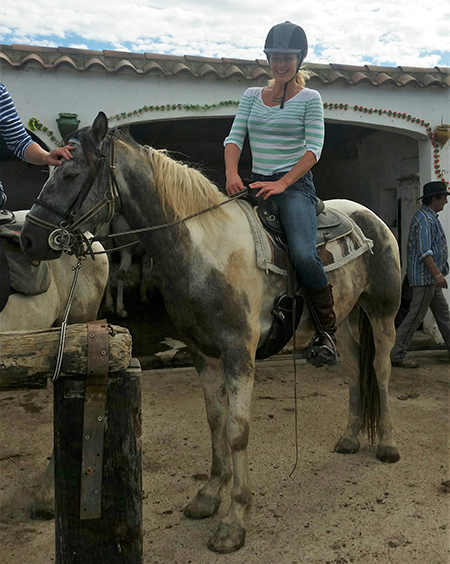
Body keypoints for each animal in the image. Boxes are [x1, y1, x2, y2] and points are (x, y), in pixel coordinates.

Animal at [20, 112, 400, 552]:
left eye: (71, 174)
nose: (29, 239)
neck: (205, 251)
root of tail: (370, 218)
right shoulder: (204, 352)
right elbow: (215, 420)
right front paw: (209, 495)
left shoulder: (239, 353)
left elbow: (237, 432)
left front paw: (234, 520)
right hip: (347, 320)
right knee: (356, 371)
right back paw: (351, 437)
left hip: (383, 314)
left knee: (381, 372)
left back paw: (387, 443)